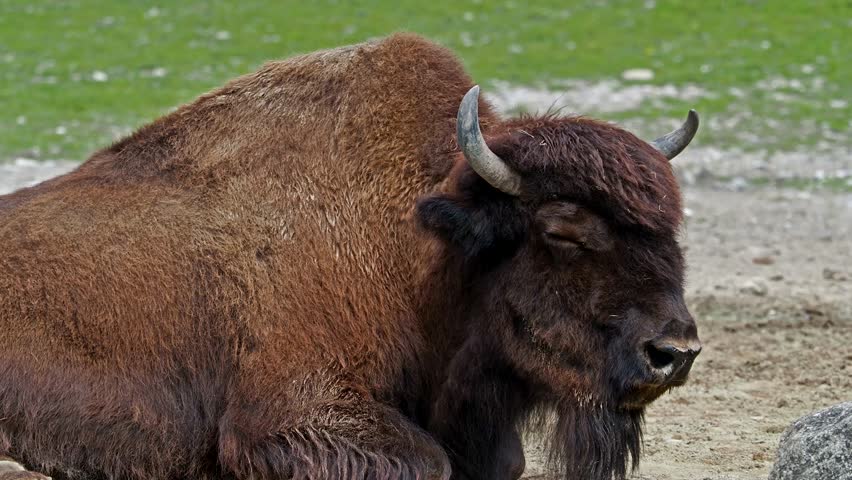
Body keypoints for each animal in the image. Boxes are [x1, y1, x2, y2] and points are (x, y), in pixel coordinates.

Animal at [0, 34, 701, 480]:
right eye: (561, 229)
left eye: (670, 231)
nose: (674, 352)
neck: (422, 245)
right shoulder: (292, 411)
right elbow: (427, 463)